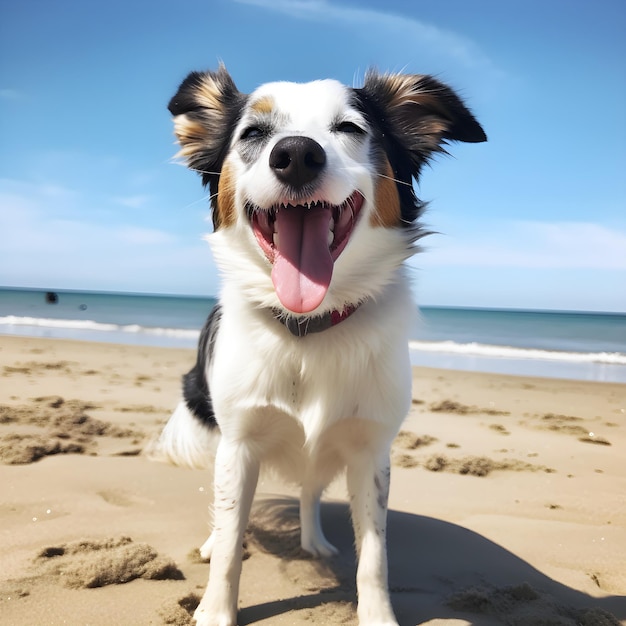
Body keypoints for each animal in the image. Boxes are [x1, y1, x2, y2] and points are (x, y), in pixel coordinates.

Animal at [154, 67, 486, 624]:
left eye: (349, 127)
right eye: (253, 133)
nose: (295, 154)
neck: (309, 325)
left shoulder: (371, 451)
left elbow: (374, 554)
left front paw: (378, 616)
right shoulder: (240, 443)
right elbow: (230, 539)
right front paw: (216, 610)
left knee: (310, 488)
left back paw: (315, 542)